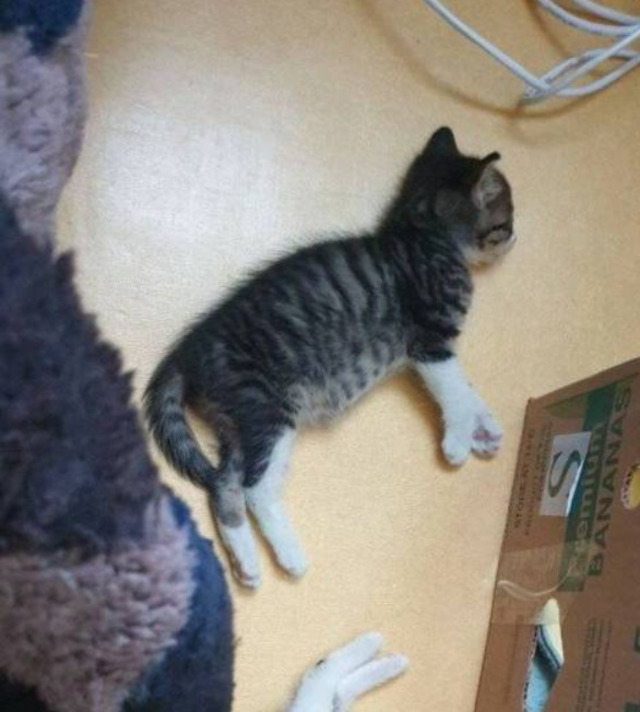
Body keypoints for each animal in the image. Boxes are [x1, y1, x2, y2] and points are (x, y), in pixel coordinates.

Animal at [144, 127, 515, 588]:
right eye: (506, 221)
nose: (515, 236)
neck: (421, 234)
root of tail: (187, 349)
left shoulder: (434, 348)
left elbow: (465, 387)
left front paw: (486, 428)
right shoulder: (430, 339)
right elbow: (454, 391)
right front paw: (460, 441)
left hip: (237, 421)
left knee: (224, 486)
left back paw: (247, 563)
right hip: (269, 410)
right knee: (254, 488)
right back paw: (290, 555)